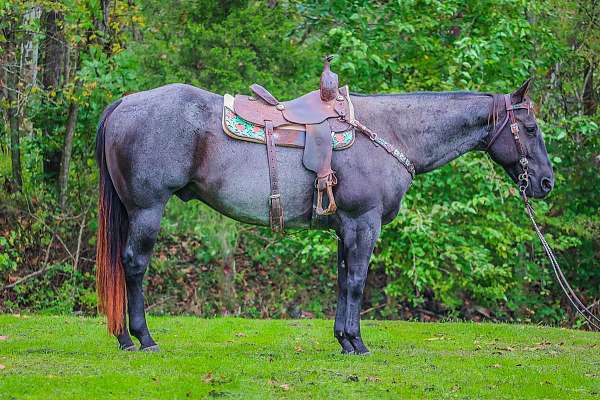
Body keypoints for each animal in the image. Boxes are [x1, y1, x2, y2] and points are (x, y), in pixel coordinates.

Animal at [95, 78, 552, 354]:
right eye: (530, 129)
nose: (546, 183)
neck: (391, 132)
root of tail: (126, 102)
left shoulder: (345, 226)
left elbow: (342, 279)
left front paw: (343, 341)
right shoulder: (364, 222)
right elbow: (357, 281)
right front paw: (357, 343)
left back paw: (123, 337)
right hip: (148, 210)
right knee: (133, 265)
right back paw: (141, 338)